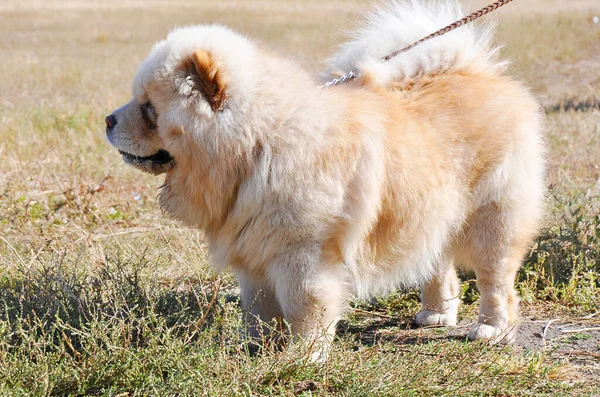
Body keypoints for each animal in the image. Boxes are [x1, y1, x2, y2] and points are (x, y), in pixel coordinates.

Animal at [106, 0, 544, 352]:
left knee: (496, 282)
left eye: (149, 108)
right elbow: (257, 311)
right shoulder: (253, 253)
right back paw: (436, 315)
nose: (108, 119)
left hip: (493, 219)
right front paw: (256, 348)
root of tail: (481, 74)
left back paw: (491, 330)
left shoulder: (304, 255)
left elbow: (305, 309)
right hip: (430, 212)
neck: (258, 145)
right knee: (438, 265)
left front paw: (302, 356)